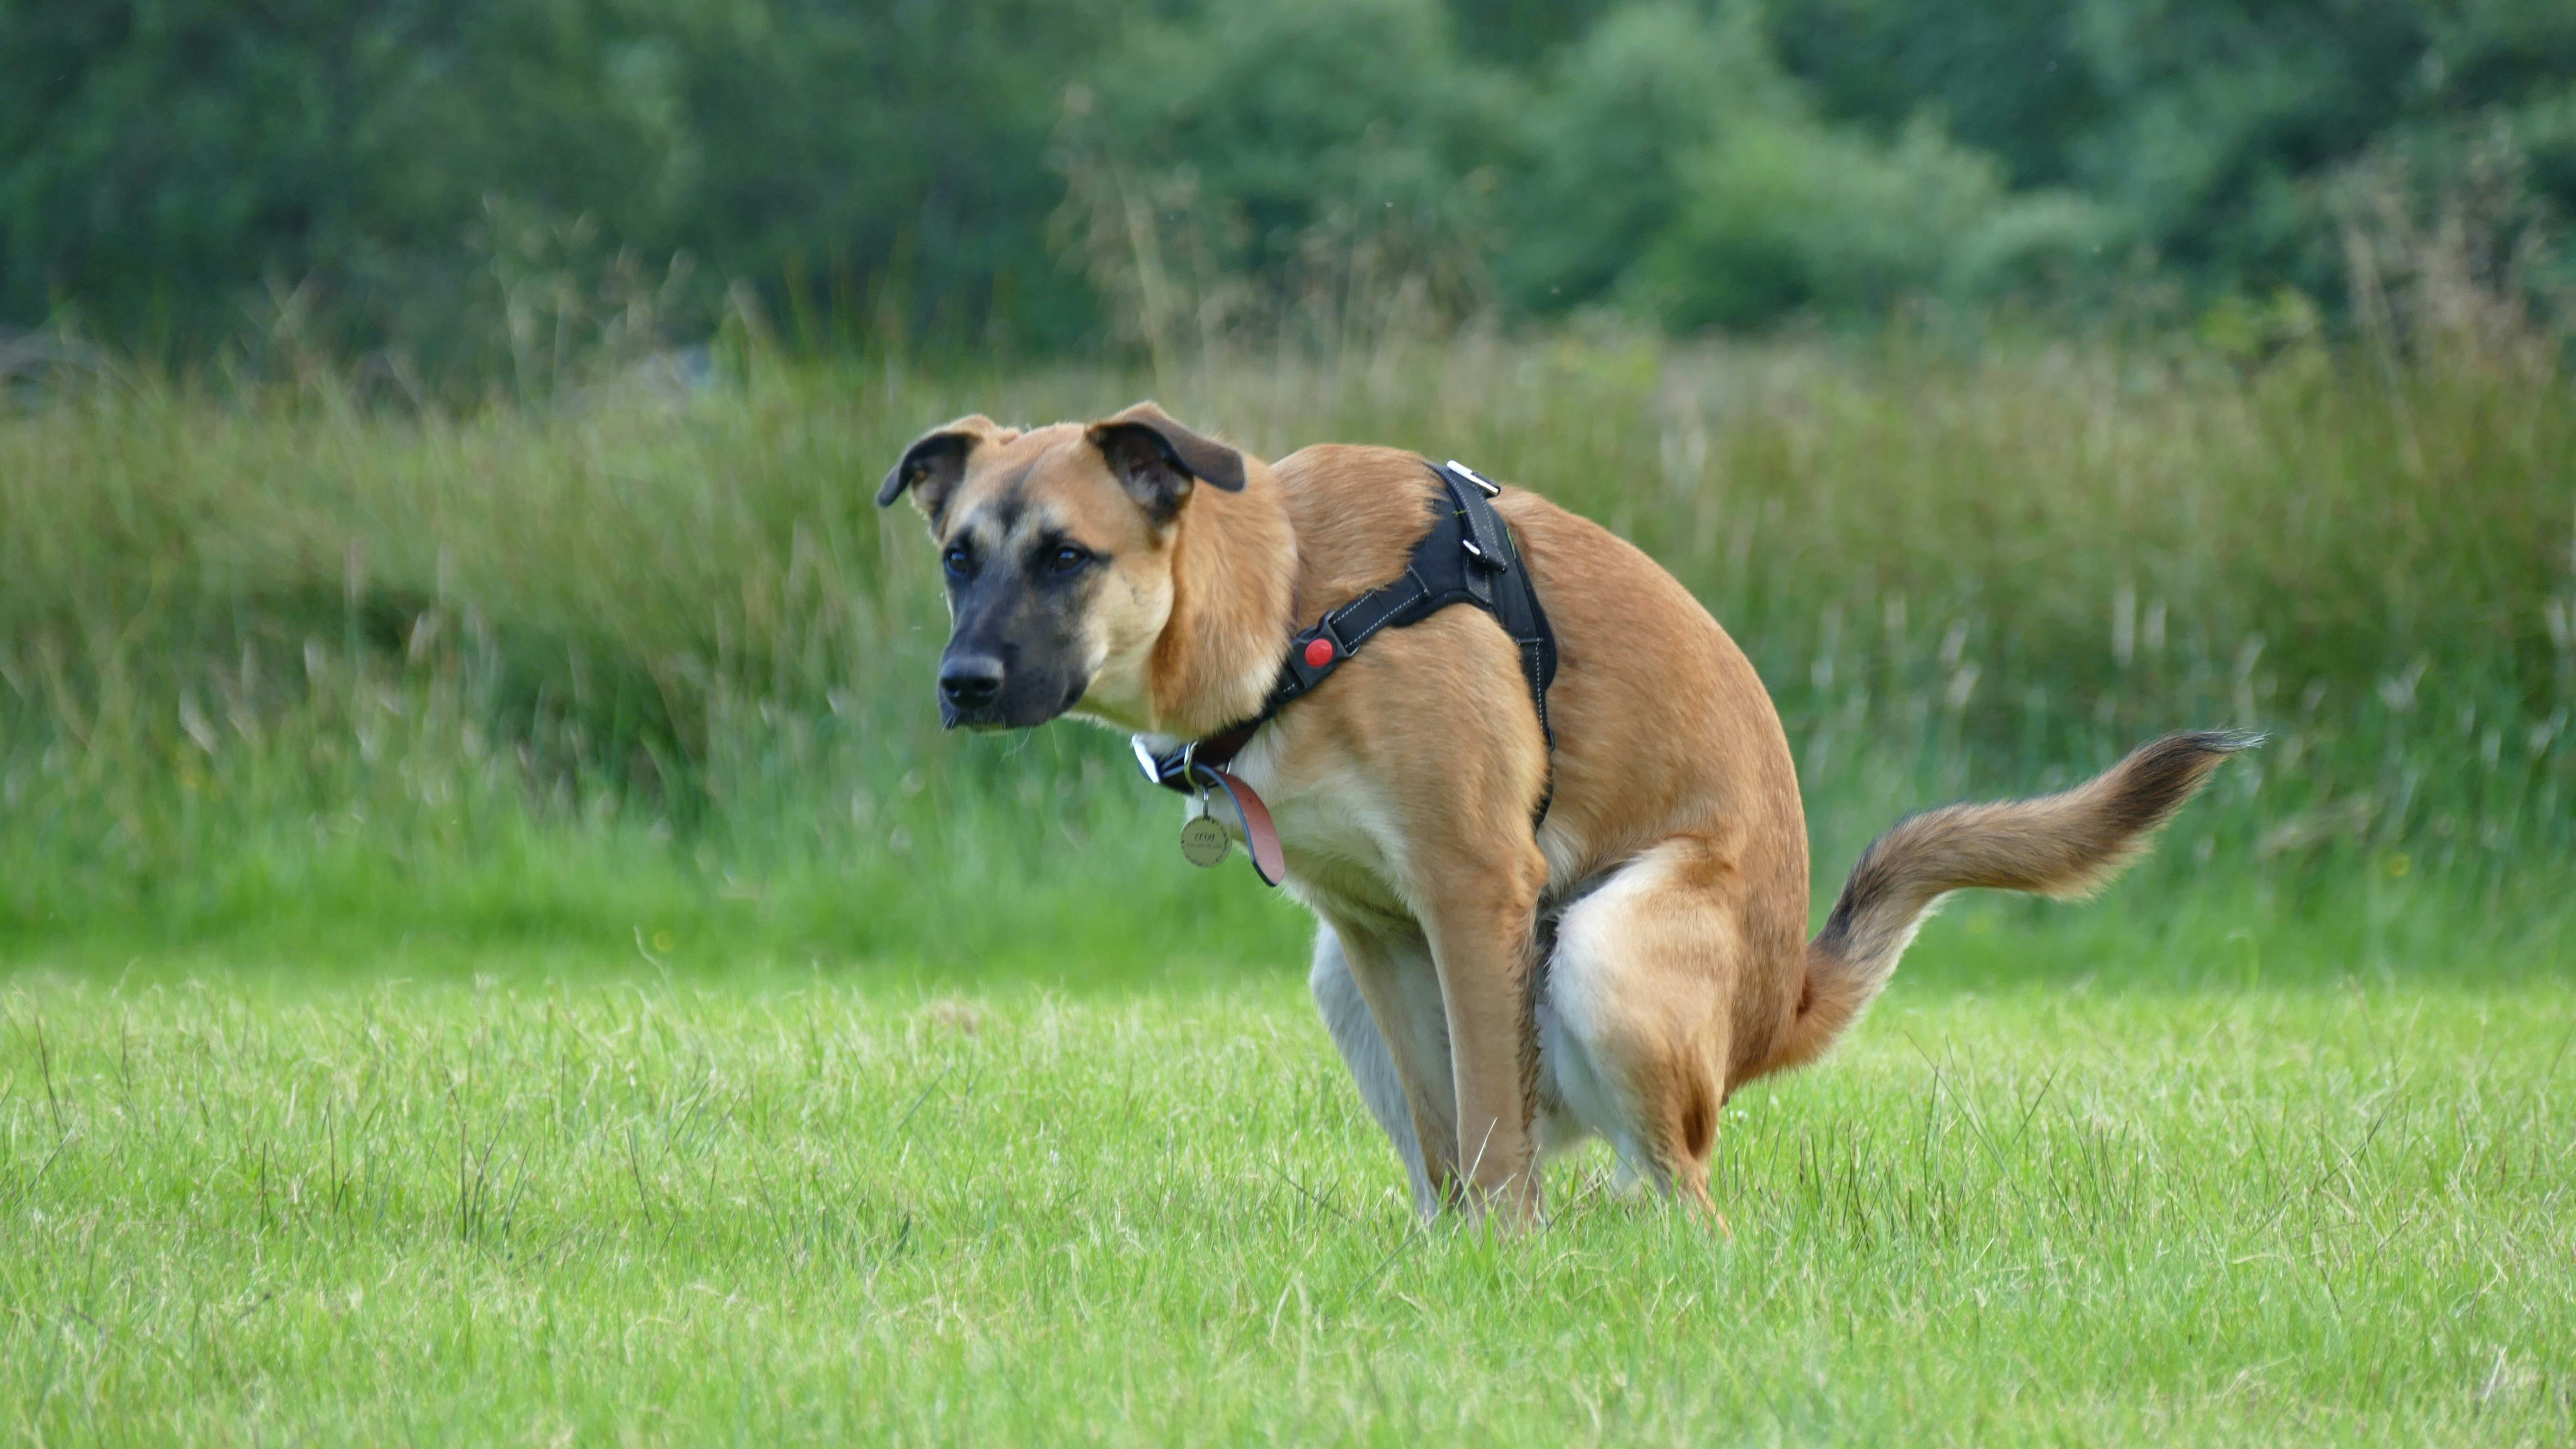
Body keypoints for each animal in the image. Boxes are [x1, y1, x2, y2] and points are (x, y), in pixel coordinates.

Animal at [875, 397, 2246, 1217]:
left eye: (1066, 557)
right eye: (957, 557)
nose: (961, 685)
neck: (1296, 605)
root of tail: (1781, 1006)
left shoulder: (1479, 893)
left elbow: (1491, 1120)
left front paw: (1505, 1262)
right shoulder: (1378, 929)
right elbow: (1450, 1131)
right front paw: (1452, 1256)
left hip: (1604, 943)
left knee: (1693, 1195)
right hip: (1341, 980)